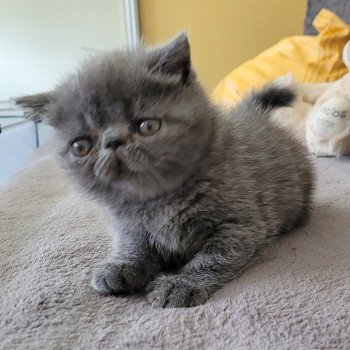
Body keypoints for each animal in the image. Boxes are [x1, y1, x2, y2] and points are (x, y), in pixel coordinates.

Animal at [15, 32, 314, 306]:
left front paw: (181, 284)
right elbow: (133, 244)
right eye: (81, 146)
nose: (113, 142)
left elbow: (214, 257)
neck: (157, 200)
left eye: (147, 126)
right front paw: (121, 266)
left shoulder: (240, 224)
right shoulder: (129, 226)